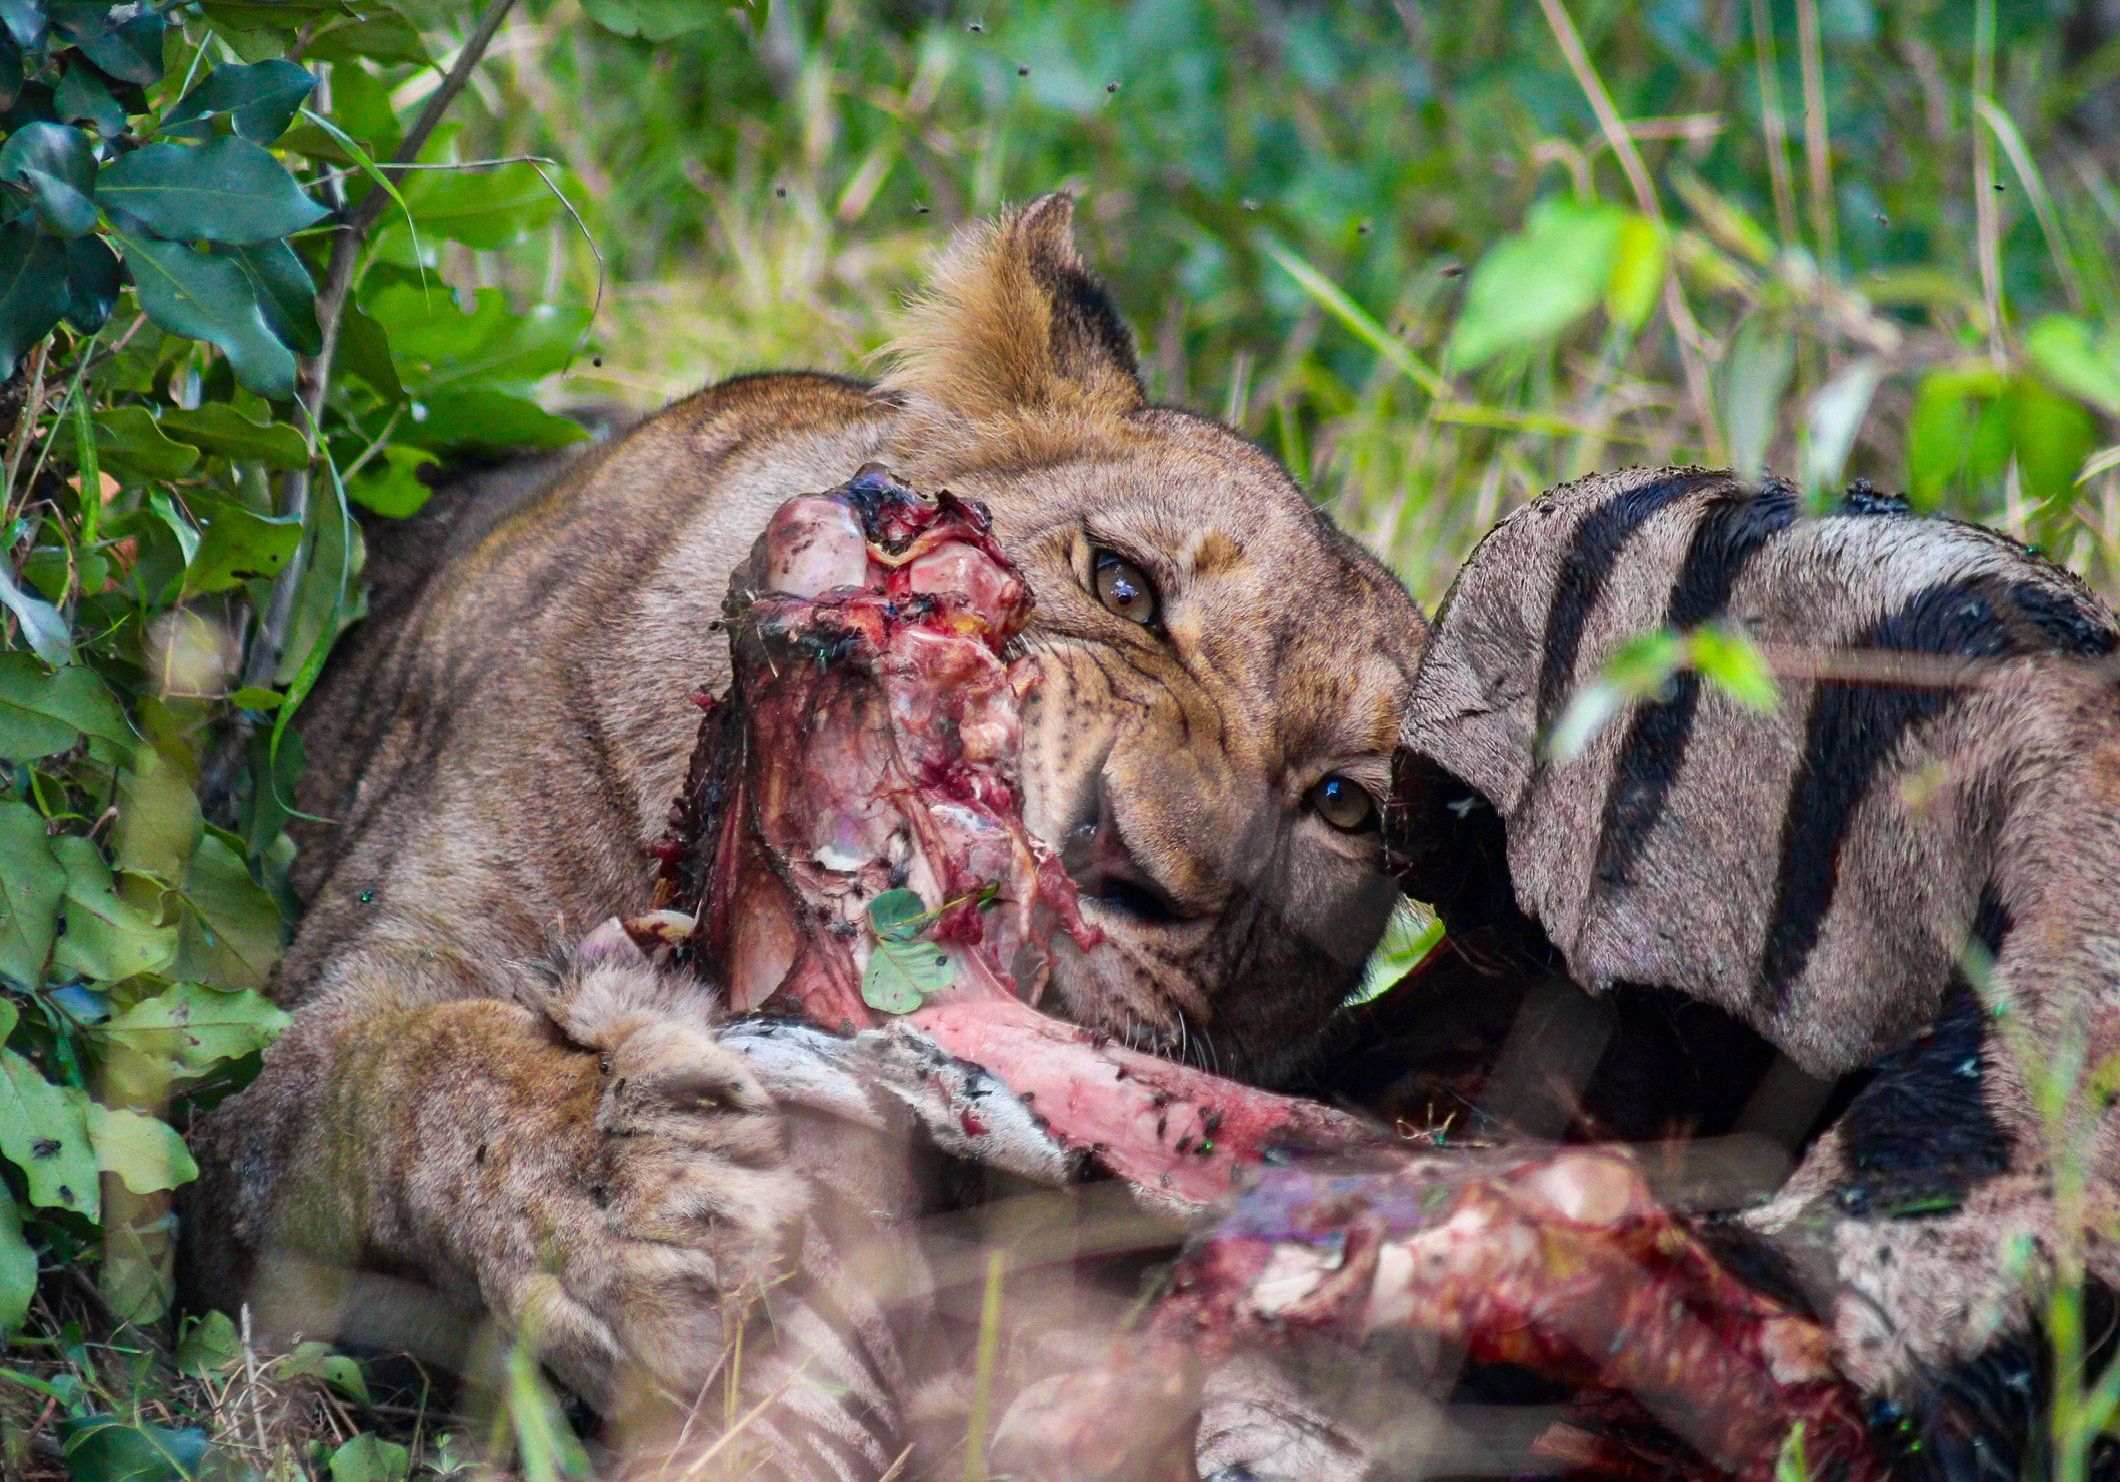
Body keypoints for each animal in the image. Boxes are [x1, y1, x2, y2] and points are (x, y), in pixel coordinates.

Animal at [182, 194, 1427, 1432]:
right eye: (1122, 586)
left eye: (1340, 807)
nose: (1122, 850)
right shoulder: (312, 1023)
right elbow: (403, 1077)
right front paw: (629, 1198)